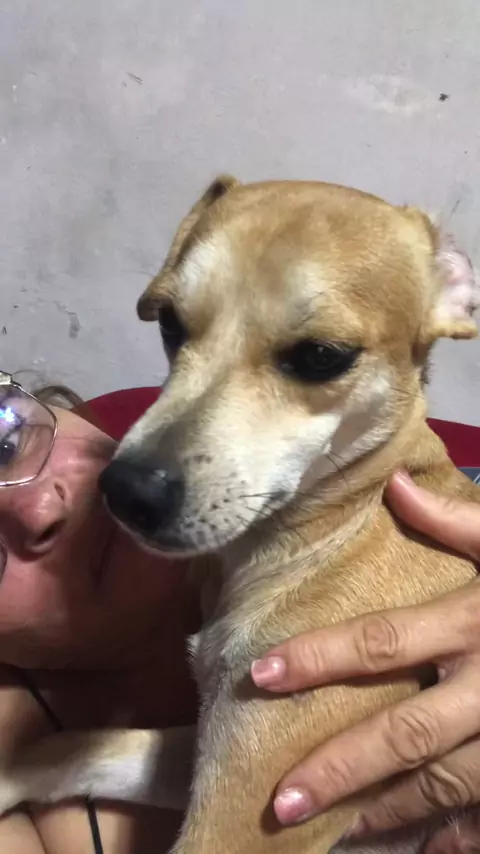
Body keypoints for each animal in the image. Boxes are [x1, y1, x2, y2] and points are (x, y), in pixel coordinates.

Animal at [1, 177, 480, 853]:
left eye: (322, 356)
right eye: (169, 323)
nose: (125, 492)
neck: (339, 524)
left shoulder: (247, 814)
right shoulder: (206, 757)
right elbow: (75, 749)